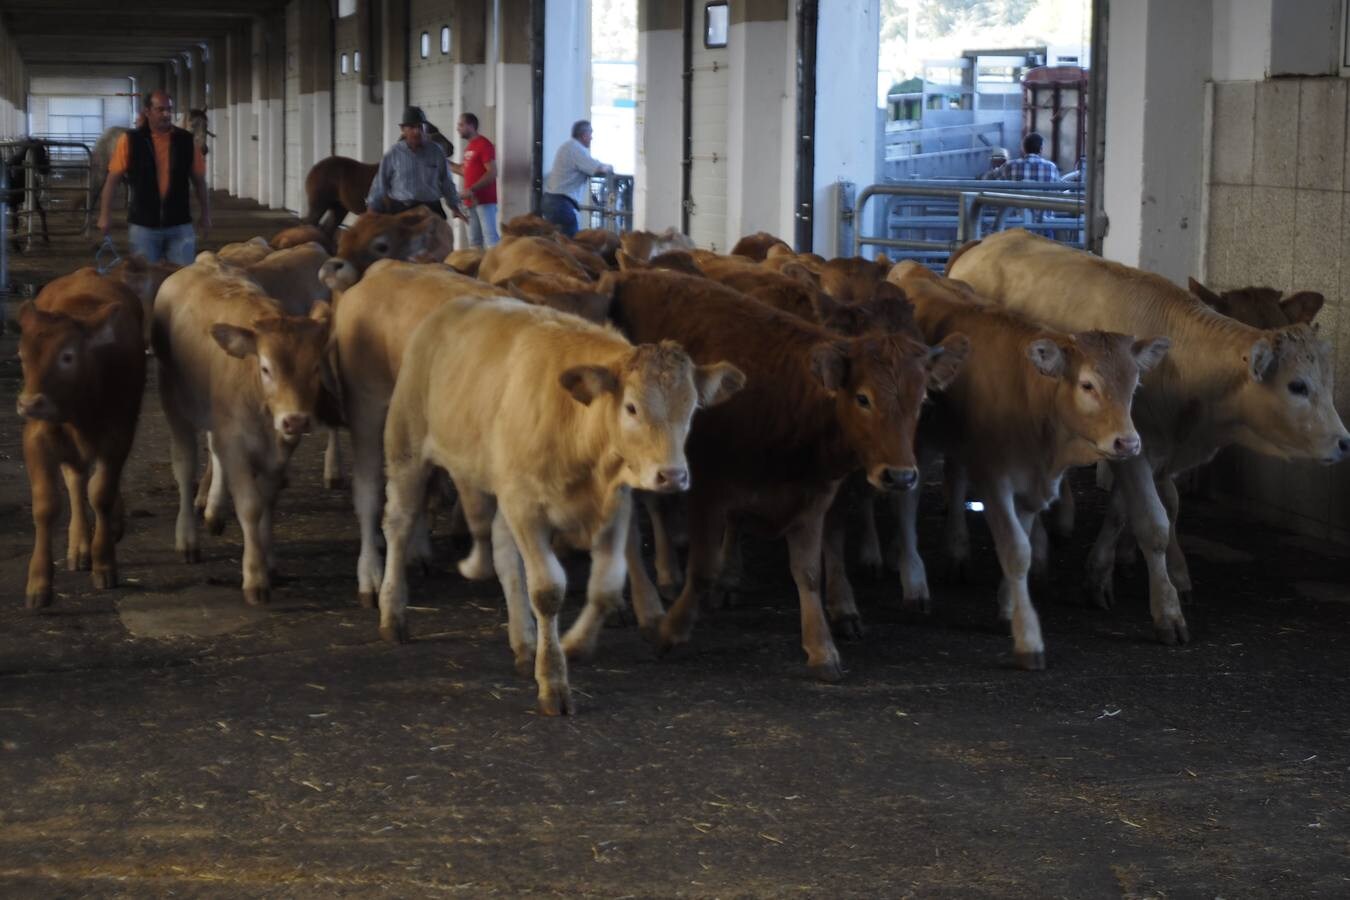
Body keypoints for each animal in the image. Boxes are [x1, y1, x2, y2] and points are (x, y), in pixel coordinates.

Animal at [150, 264, 332, 609]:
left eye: (316, 367)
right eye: (266, 369)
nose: (295, 420)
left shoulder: (279, 449)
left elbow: (268, 500)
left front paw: (268, 559)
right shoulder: (235, 442)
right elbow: (250, 505)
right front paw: (255, 577)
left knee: (213, 449)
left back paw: (213, 511)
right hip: (173, 400)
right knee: (184, 465)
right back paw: (188, 538)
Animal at [375, 299, 745, 712]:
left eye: (692, 408)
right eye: (632, 408)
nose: (673, 476)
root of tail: (459, 305)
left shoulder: (615, 507)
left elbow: (607, 586)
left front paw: (573, 645)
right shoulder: (526, 507)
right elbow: (548, 590)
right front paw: (553, 682)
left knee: (504, 554)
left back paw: (524, 644)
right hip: (406, 445)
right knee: (399, 524)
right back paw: (392, 613)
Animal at [950, 229, 1350, 644]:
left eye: (1327, 382)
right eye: (1297, 386)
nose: (1343, 441)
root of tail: (990, 241)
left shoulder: (1140, 450)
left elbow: (1124, 511)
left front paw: (1100, 575)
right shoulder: (1136, 451)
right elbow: (1152, 522)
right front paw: (1167, 611)